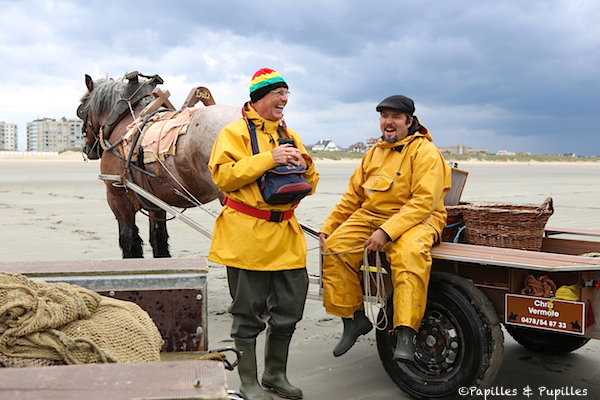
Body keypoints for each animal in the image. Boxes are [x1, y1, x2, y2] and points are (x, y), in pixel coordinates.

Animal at [77, 71, 239, 260]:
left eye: (81, 111)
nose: (87, 149)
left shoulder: (117, 197)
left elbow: (129, 241)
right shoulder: (156, 203)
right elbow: (159, 239)